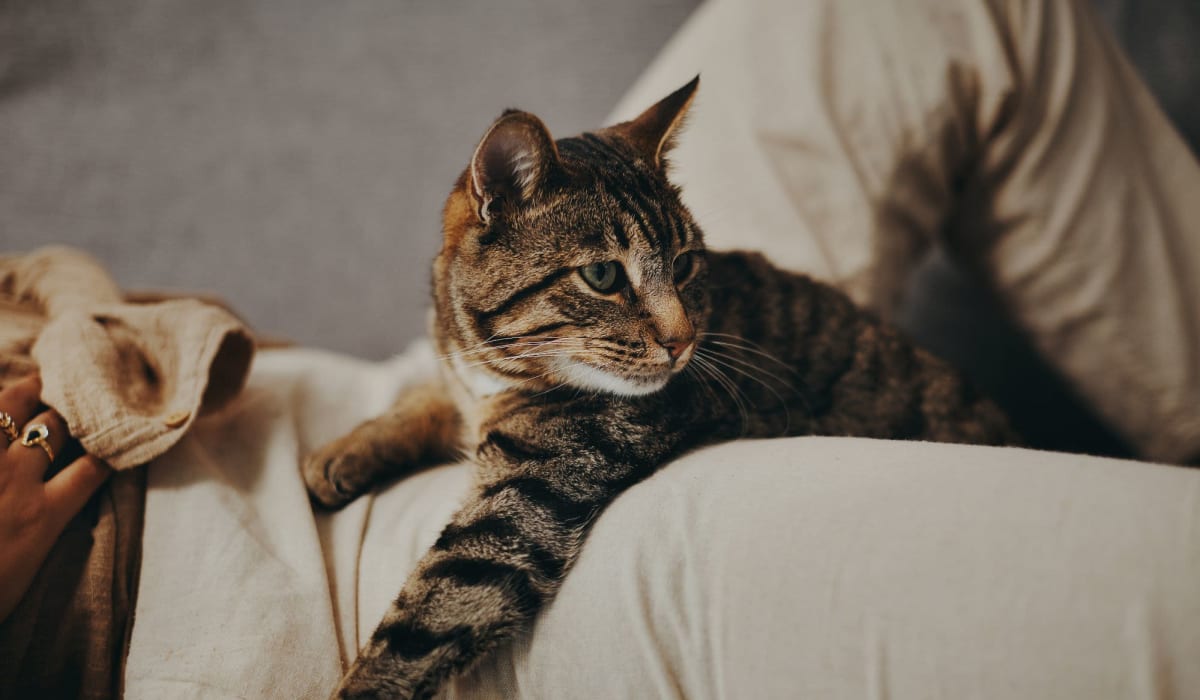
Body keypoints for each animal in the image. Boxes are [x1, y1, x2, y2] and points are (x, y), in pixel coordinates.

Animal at [304, 79, 1017, 696]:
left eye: (684, 264)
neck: (499, 366)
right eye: (602, 276)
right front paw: (340, 454)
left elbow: (428, 615)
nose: (684, 341)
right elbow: (425, 398)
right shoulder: (462, 382)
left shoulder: (530, 496)